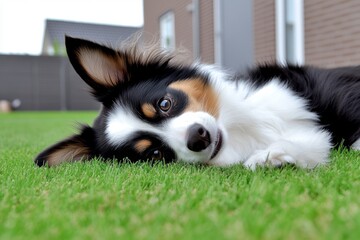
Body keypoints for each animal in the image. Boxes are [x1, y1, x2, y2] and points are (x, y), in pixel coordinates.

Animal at [33, 36, 360, 170]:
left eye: (164, 104)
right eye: (154, 154)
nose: (197, 137)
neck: (242, 132)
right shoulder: (309, 138)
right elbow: (313, 145)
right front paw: (274, 158)